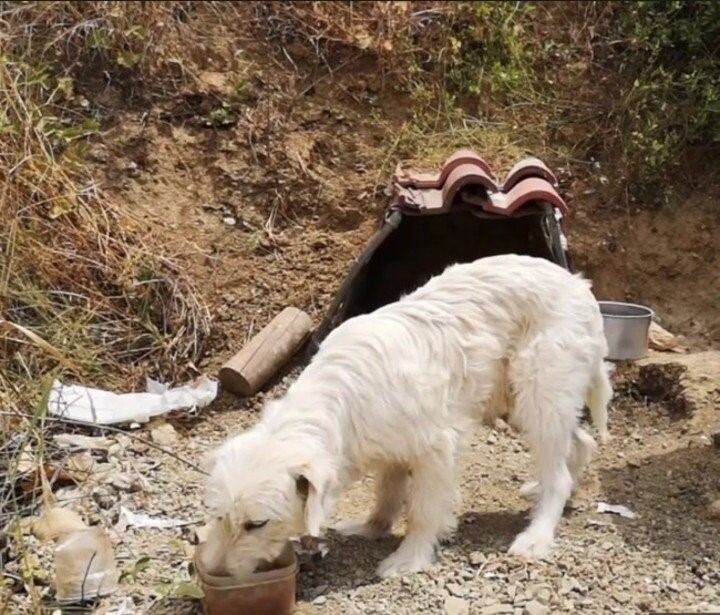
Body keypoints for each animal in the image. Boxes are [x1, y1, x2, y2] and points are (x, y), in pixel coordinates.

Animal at [202, 254, 612, 576]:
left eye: (256, 524)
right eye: (219, 516)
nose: (215, 572)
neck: (338, 402)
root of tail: (580, 285)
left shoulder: (436, 449)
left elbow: (423, 511)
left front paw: (409, 558)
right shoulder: (391, 450)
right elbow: (387, 492)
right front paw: (372, 527)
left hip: (540, 392)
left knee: (559, 473)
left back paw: (537, 534)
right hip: (521, 401)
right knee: (580, 444)